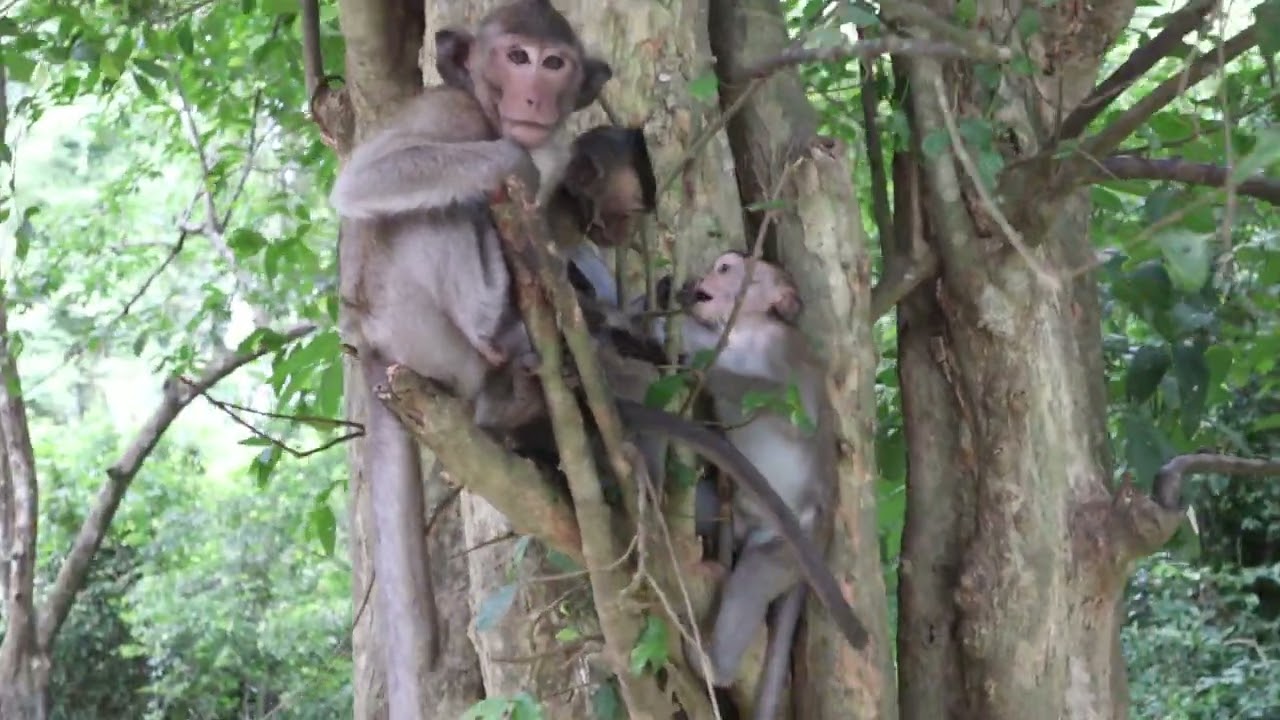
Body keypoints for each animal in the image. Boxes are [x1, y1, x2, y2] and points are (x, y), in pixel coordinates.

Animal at [326, 2, 611, 715]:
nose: (533, 96)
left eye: (553, 62)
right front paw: (511, 158)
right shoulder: (450, 115)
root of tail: (370, 353)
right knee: (441, 206)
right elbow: (369, 179)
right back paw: (499, 333)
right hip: (414, 328)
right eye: (516, 57)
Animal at [672, 251, 865, 718]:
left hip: (789, 549)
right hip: (739, 516)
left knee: (754, 577)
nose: (697, 280)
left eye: (725, 268)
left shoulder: (787, 351)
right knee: (706, 508)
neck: (746, 331)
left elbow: (790, 412)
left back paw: (714, 666)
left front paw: (698, 349)